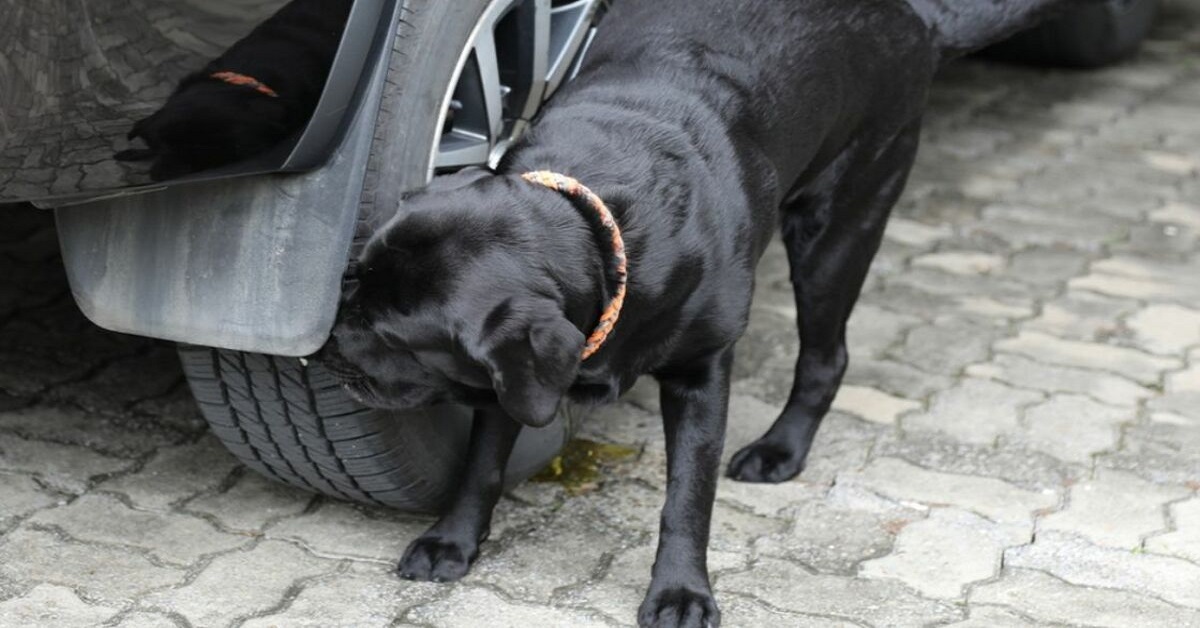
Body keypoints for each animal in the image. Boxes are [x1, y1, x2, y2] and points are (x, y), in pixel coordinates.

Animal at [324, 2, 1084, 624]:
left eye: (394, 337)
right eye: (353, 279)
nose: (327, 343)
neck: (602, 229)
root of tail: (916, 17)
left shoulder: (702, 370)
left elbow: (688, 497)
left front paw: (681, 592)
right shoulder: (509, 383)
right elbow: (482, 460)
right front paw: (451, 541)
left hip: (838, 231)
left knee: (827, 356)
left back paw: (781, 449)